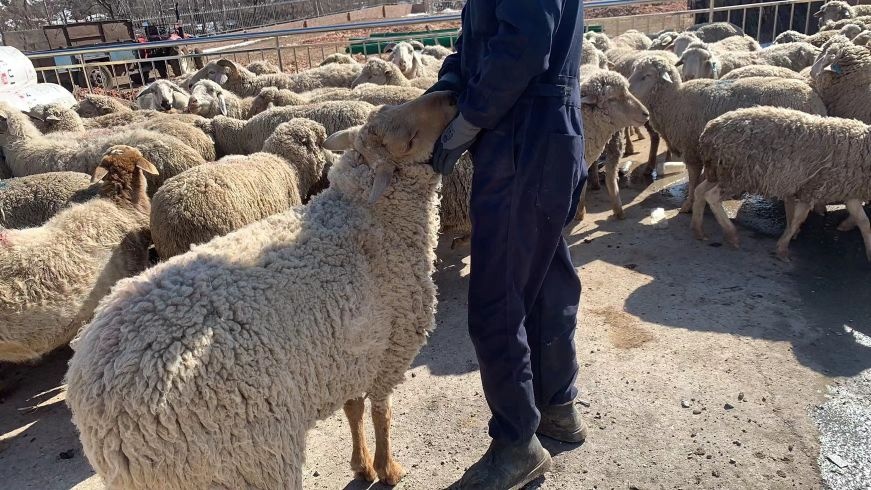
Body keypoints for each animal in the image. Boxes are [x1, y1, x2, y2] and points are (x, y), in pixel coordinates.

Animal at [64, 90, 460, 490]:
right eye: (407, 141)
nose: (450, 96)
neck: (369, 219)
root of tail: (102, 418)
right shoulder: (391, 350)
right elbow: (382, 413)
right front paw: (386, 468)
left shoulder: (350, 355)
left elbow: (354, 409)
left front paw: (361, 463)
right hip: (253, 459)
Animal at [696, 106, 871, 262]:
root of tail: (709, 131)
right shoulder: (813, 188)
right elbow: (797, 219)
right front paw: (783, 248)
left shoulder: (848, 190)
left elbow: (864, 223)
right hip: (737, 175)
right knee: (711, 196)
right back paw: (731, 235)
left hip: (721, 171)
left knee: (700, 190)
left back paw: (698, 230)